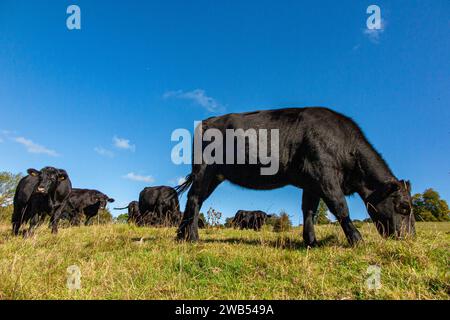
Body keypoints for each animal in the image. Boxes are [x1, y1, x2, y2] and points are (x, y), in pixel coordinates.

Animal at [178, 107, 416, 245]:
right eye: (404, 207)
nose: (411, 237)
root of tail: (208, 121)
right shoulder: (324, 175)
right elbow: (340, 207)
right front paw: (357, 240)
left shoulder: (311, 183)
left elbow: (309, 210)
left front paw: (311, 241)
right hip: (205, 170)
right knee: (194, 199)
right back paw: (193, 239)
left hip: (215, 175)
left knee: (195, 201)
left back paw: (181, 236)